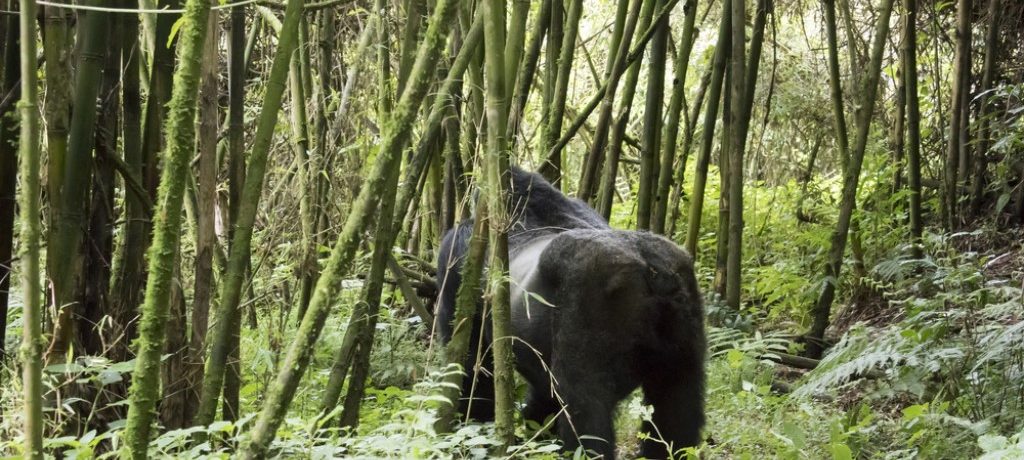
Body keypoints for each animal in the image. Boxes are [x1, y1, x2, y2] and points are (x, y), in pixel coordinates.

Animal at [436, 166, 708, 456]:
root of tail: (653, 269)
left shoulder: (458, 250)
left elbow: (471, 370)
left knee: (584, 409)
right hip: (682, 283)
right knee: (677, 401)